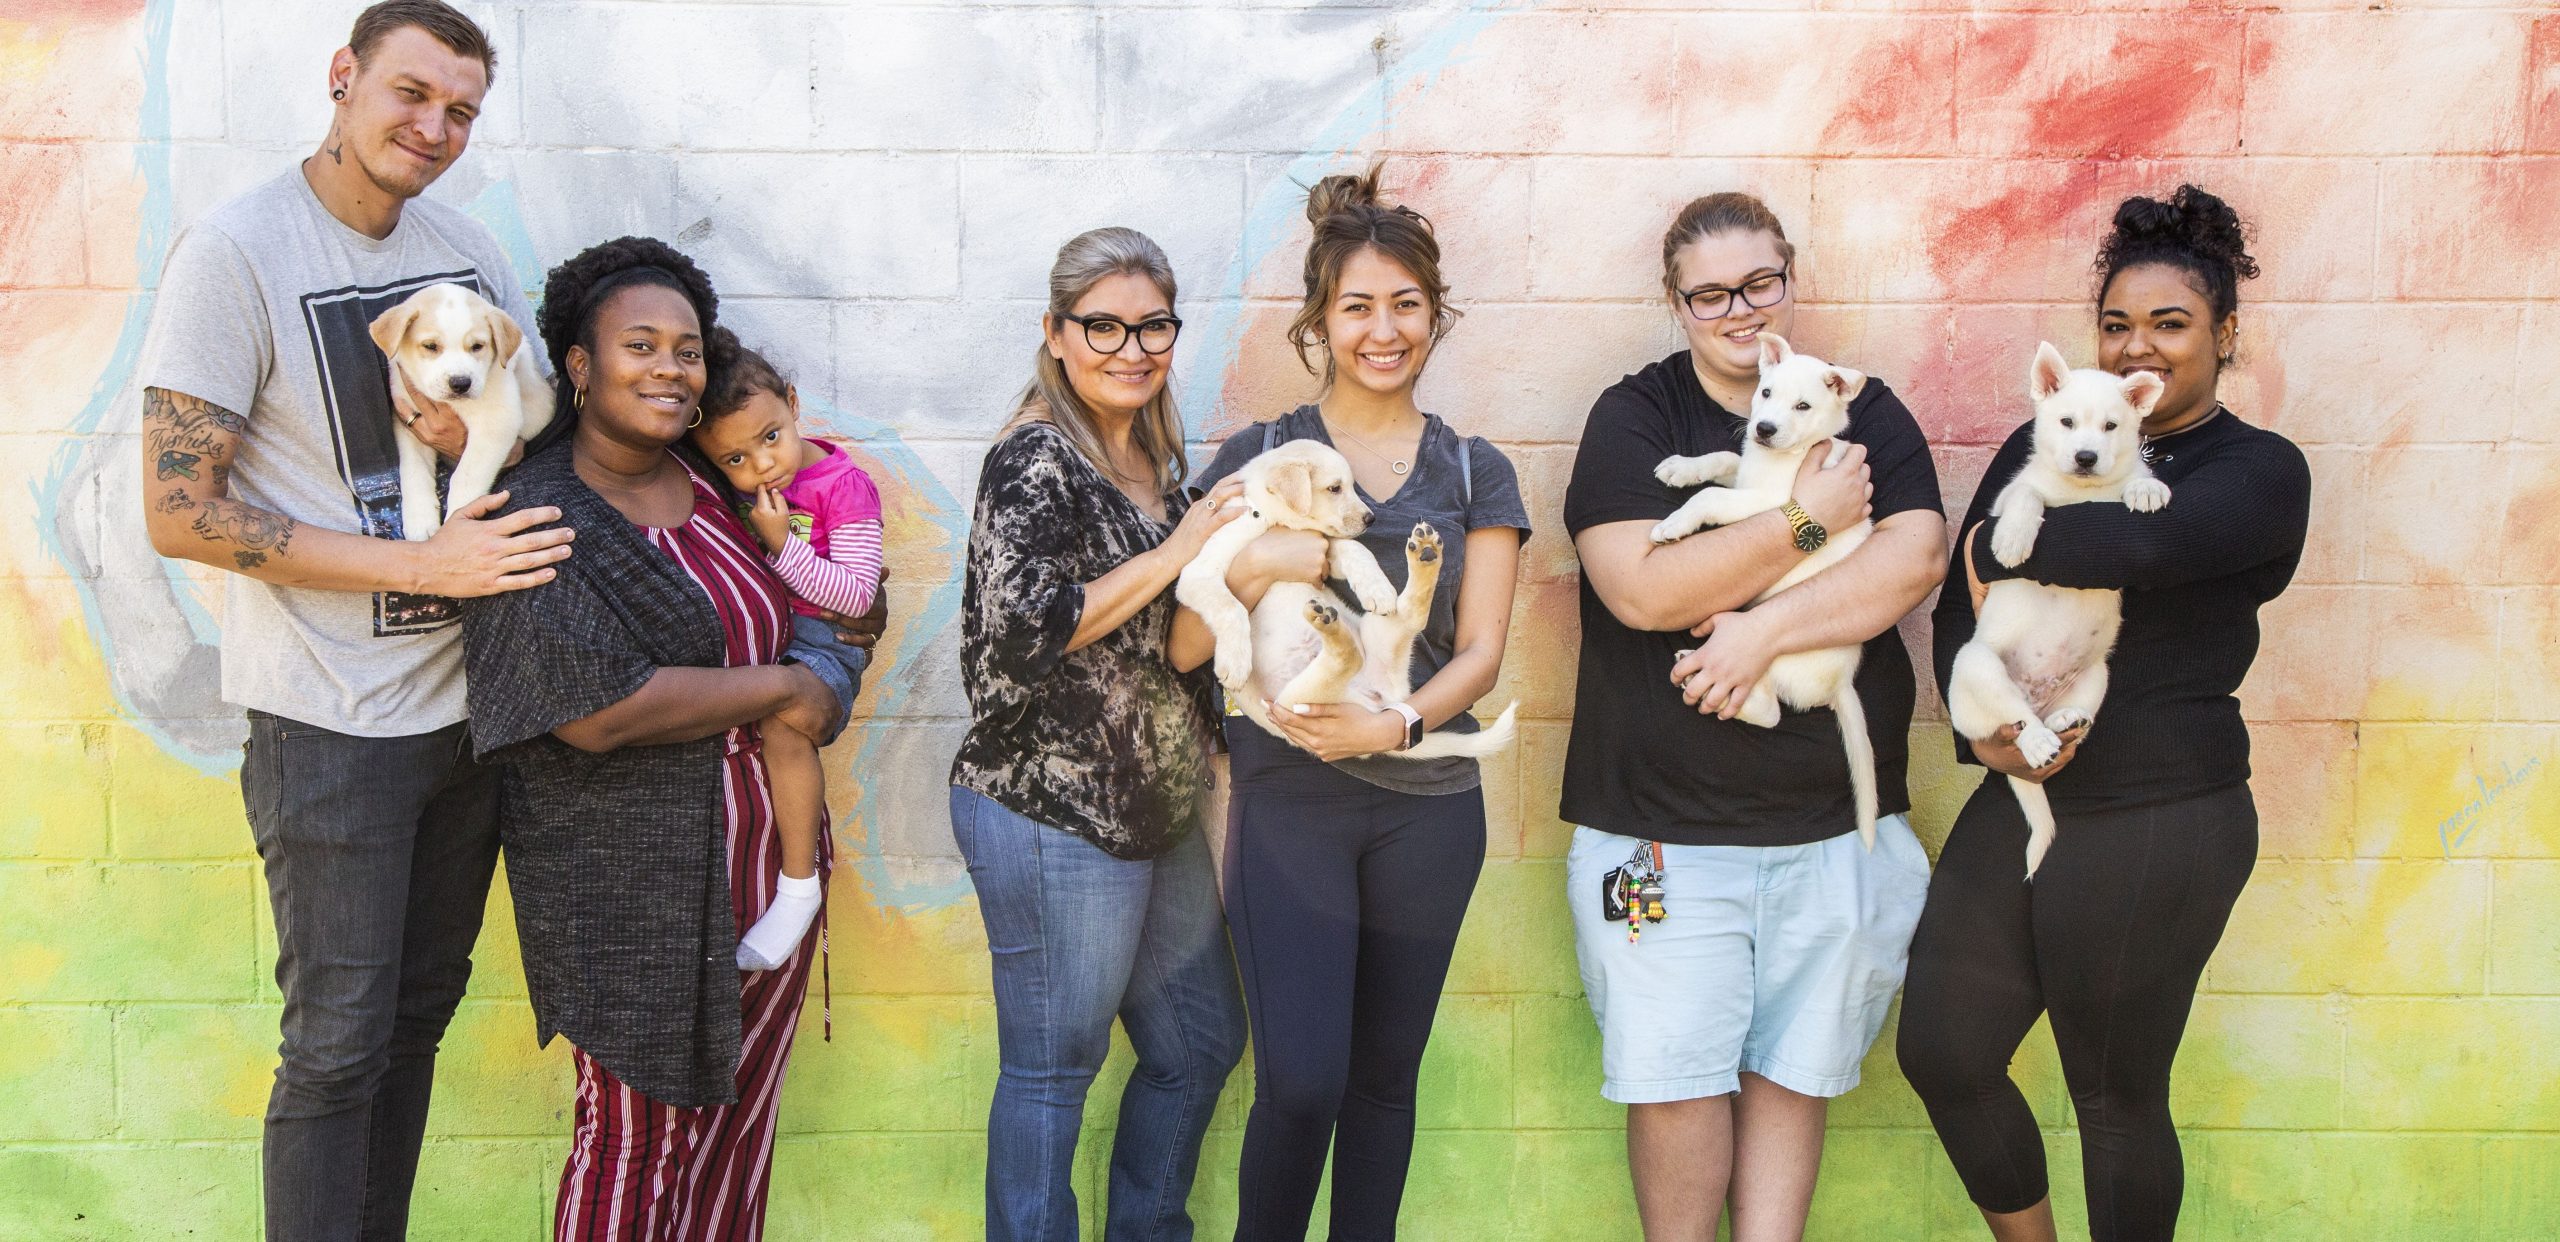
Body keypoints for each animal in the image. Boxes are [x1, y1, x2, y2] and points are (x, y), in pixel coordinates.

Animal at [368, 283, 554, 541]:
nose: (460, 383)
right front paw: (419, 520)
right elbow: (413, 473)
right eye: (430, 346)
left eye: (477, 347)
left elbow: (465, 477)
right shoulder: (409, 424)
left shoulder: (496, 422)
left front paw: (457, 521)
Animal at [1176, 439, 1516, 760]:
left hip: (1369, 646)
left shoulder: (1326, 546)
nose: (1371, 519)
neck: (1273, 520)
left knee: (1406, 619)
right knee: (1344, 660)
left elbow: (1356, 549)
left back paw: (1421, 557)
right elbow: (1231, 607)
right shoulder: (1197, 575)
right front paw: (1234, 662)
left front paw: (1378, 589)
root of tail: (1378, 705)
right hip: (1293, 706)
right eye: (1335, 488)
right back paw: (1330, 626)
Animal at [1647, 333, 1879, 848]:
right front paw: (1683, 468)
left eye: (1804, 406)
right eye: (1766, 392)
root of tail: (1843, 683)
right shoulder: (1744, 474)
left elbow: (1710, 498)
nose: (1764, 429)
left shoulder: (1770, 501)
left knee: (1772, 711)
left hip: (1770, 651)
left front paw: (1674, 524)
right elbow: (1725, 459)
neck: (1781, 458)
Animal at [1945, 342, 2170, 879]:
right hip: (1976, 665)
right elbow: (2026, 495)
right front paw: (2011, 541)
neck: (2081, 493)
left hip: (2097, 675)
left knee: (2063, 715)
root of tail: (2039, 699)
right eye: (2066, 422)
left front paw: (2147, 488)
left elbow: (2136, 474)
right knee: (2014, 714)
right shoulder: (2008, 496)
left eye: (2111, 426)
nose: (2086, 457)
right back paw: (2036, 740)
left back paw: (2066, 720)